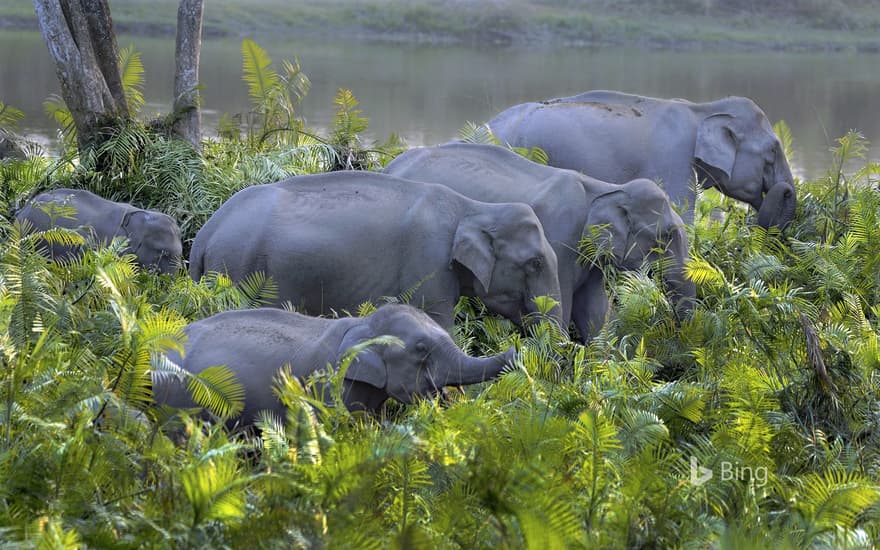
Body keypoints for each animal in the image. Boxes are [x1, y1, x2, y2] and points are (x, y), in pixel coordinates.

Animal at [190, 170, 568, 330]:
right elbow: (436, 323)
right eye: (534, 263)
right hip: (237, 267)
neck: (473, 207)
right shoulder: (427, 262)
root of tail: (206, 233)